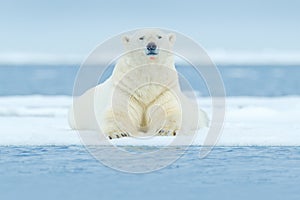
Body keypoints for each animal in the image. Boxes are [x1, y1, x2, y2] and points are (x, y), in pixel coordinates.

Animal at [68, 28, 209, 139]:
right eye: (141, 37)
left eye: (159, 36)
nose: (151, 46)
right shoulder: (125, 88)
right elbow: (117, 112)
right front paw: (117, 133)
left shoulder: (164, 89)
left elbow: (170, 110)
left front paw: (167, 130)